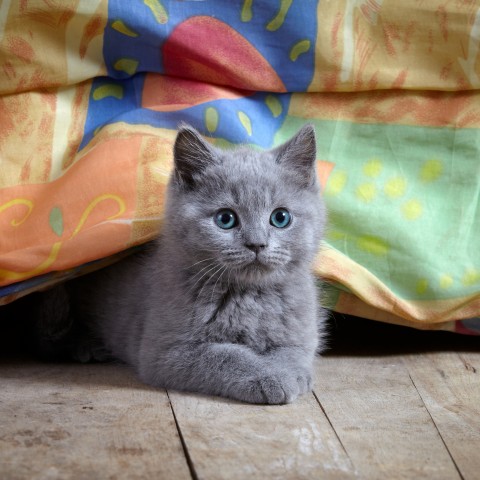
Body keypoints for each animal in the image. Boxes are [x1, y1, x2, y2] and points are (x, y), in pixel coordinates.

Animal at [31, 124, 328, 404]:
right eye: (226, 219)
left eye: (280, 217)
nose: (257, 244)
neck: (248, 297)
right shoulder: (165, 352)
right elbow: (226, 355)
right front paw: (269, 377)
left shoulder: (301, 333)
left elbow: (293, 353)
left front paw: (292, 374)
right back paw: (88, 346)